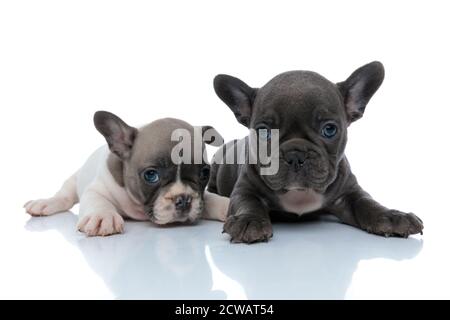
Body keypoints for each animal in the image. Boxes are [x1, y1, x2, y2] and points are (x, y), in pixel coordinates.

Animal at [24, 111, 229, 236]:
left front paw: (228, 206)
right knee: (64, 196)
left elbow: (209, 199)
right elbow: (97, 200)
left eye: (204, 173)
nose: (183, 199)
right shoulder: (97, 188)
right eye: (151, 175)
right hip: (73, 180)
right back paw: (44, 204)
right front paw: (102, 216)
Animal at [209, 61, 424, 244]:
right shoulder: (245, 189)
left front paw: (392, 216)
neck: (299, 194)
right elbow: (247, 203)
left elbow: (367, 203)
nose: (295, 155)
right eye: (263, 132)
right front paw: (248, 221)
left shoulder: (350, 193)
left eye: (329, 130)